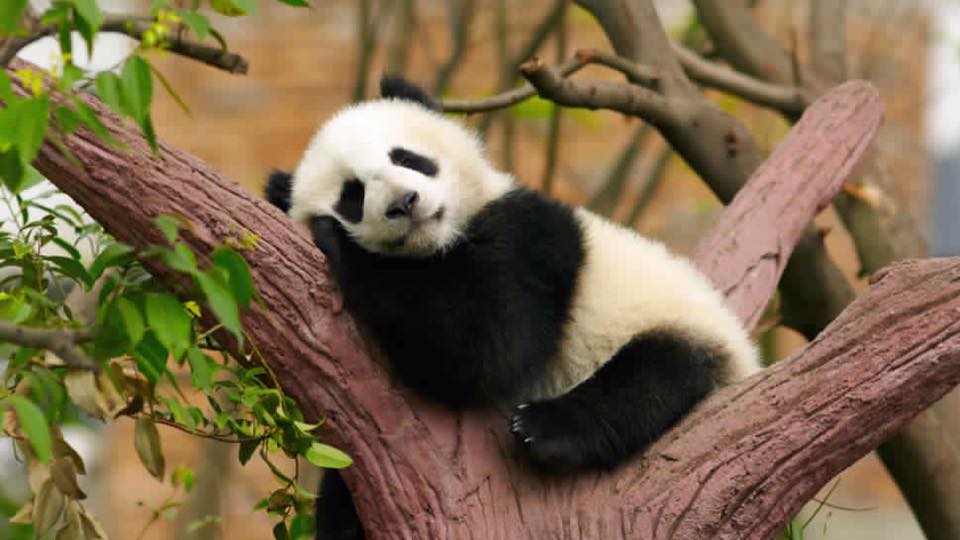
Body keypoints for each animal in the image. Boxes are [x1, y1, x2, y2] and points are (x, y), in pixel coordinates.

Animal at [266, 76, 760, 538]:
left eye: (406, 158)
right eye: (352, 195)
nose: (404, 203)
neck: (440, 244)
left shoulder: (531, 239)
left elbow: (485, 347)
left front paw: (338, 244)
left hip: (678, 325)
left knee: (652, 377)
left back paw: (545, 428)